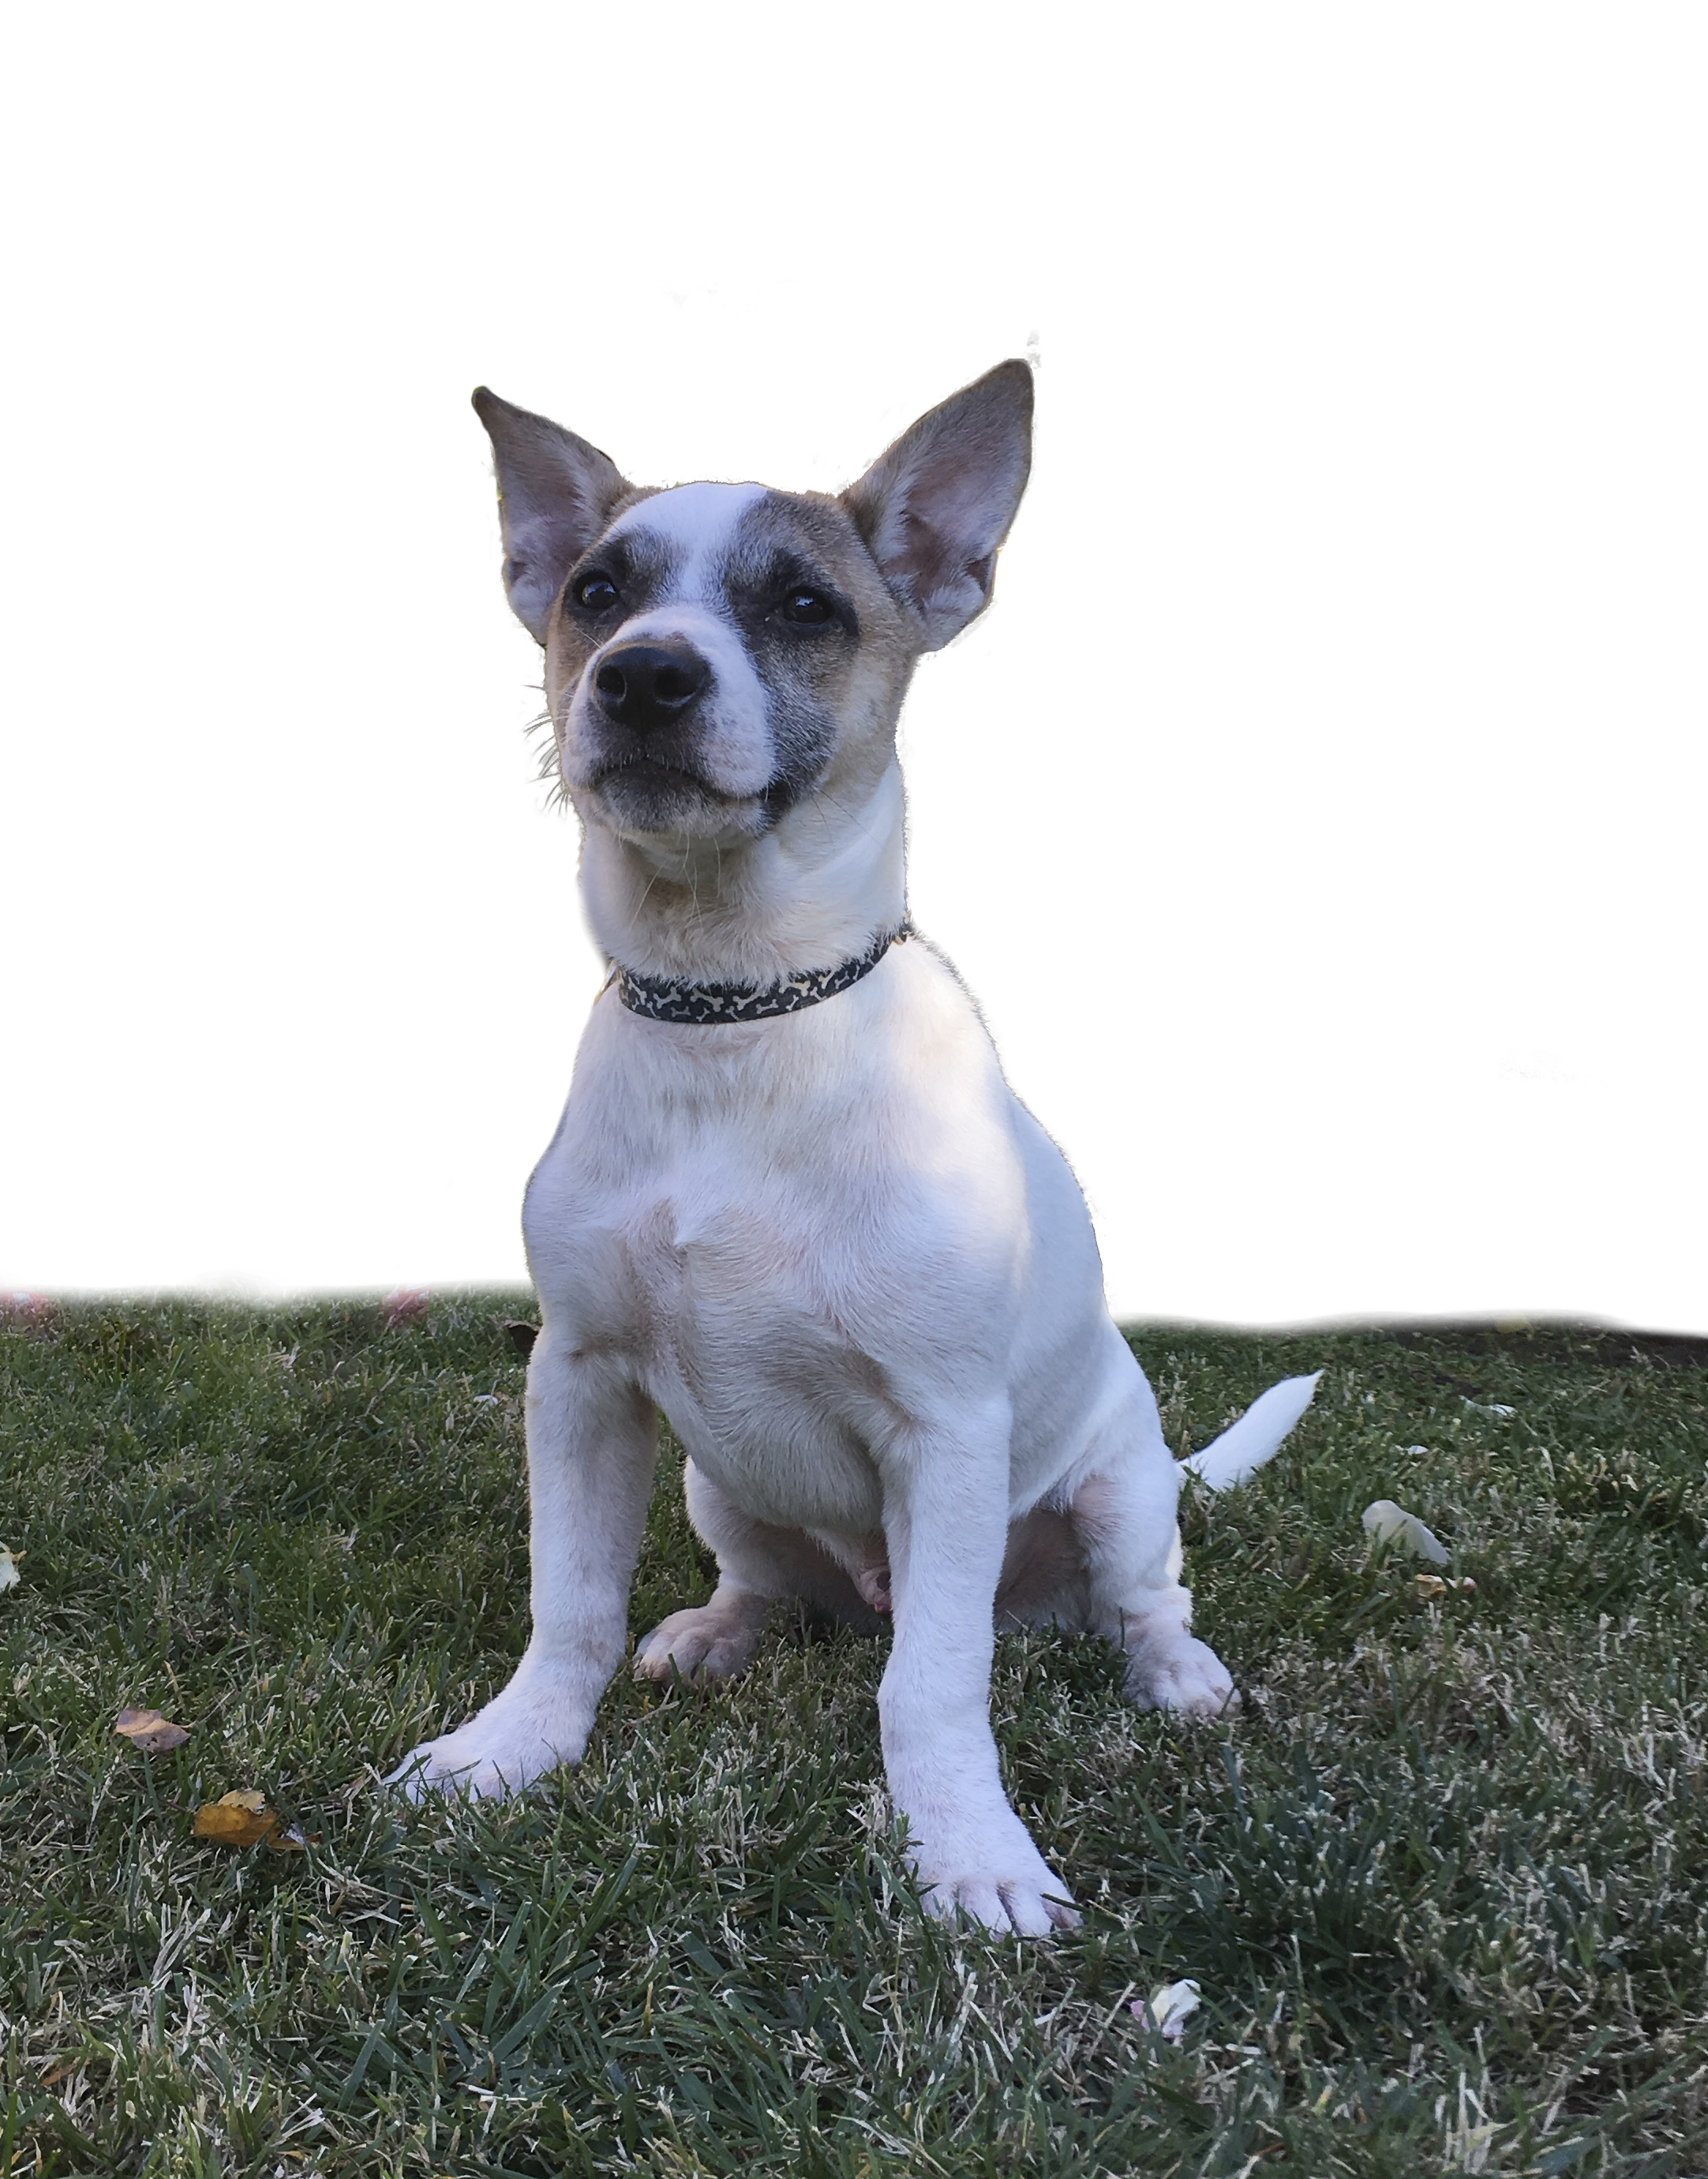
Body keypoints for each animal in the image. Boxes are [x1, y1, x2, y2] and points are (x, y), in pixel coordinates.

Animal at [390, 361, 1324, 1943]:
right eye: (595, 590)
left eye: (805, 605)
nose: (643, 676)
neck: (735, 1013)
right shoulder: (576, 1381)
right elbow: (566, 1606)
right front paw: (511, 1748)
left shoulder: (944, 1433)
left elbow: (931, 1687)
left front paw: (971, 1854)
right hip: (715, 1481)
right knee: (768, 1585)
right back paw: (714, 1630)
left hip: (1118, 1485)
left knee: (1137, 1601)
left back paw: (1176, 1674)